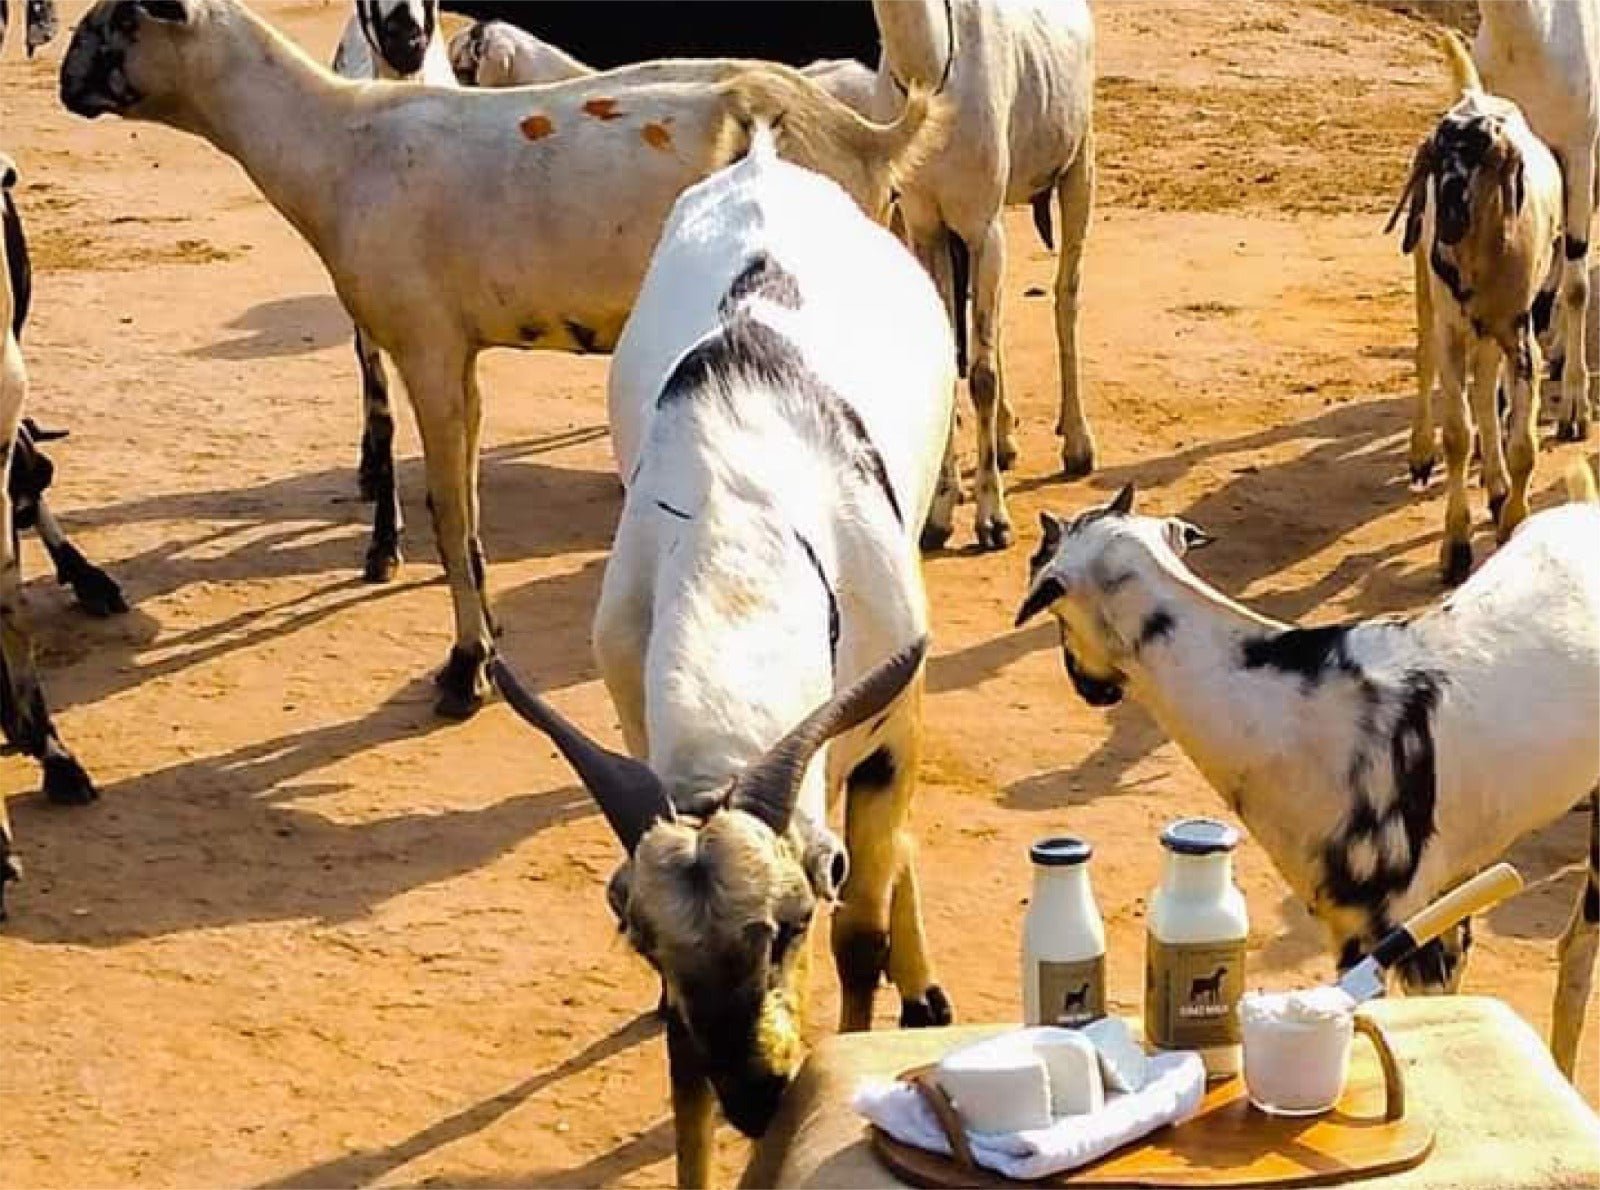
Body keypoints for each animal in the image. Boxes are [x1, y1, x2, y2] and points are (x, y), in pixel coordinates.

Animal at [61, 0, 940, 719]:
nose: (67, 81)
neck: (338, 142)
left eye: (122, 16)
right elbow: (470, 509)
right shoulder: (460, 358)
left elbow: (448, 511)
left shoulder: (426, 346)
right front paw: (481, 639)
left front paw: (466, 669)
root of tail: (868, 139)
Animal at [491, 126, 955, 1186]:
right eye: (642, 941)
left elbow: (859, 934)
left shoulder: (891, 726)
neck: (739, 512)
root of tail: (764, 160)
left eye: (789, 924)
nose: (758, 1093)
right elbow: (676, 1057)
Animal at [870, 0, 1097, 551]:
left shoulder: (982, 227)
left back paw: (1078, 445)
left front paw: (993, 521)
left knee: (1065, 296)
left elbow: (982, 375)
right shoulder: (926, 226)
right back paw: (1006, 438)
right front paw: (937, 517)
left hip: (1079, 162)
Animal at [1016, 478, 1600, 1078]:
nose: (1089, 688)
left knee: (1578, 950)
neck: (1285, 702)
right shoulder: (1378, 923)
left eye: (1052, 603)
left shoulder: (1397, 929)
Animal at [1388, 33, 1563, 584]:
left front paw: (1513, 517)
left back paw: (1497, 484)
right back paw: (1421, 453)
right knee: (1426, 361)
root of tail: (1474, 94)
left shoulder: (1520, 334)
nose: (1448, 216)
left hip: (1489, 332)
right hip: (1430, 297)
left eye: (1485, 155)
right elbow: (1457, 436)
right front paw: (1457, 545)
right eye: (1438, 157)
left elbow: (1524, 443)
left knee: (1486, 388)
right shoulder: (1452, 330)